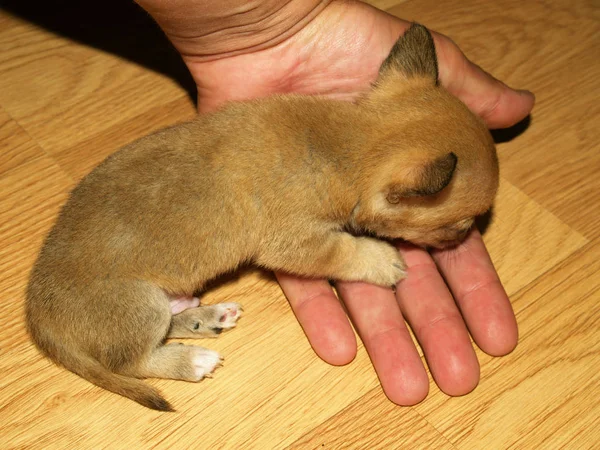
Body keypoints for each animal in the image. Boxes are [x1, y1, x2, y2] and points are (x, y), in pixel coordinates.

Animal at [25, 25, 500, 412]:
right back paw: (190, 359)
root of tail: (38, 318)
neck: (350, 144)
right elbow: (344, 251)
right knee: (135, 361)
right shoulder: (298, 244)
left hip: (156, 303)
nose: (465, 240)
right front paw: (382, 260)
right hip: (140, 306)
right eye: (459, 225)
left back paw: (206, 317)